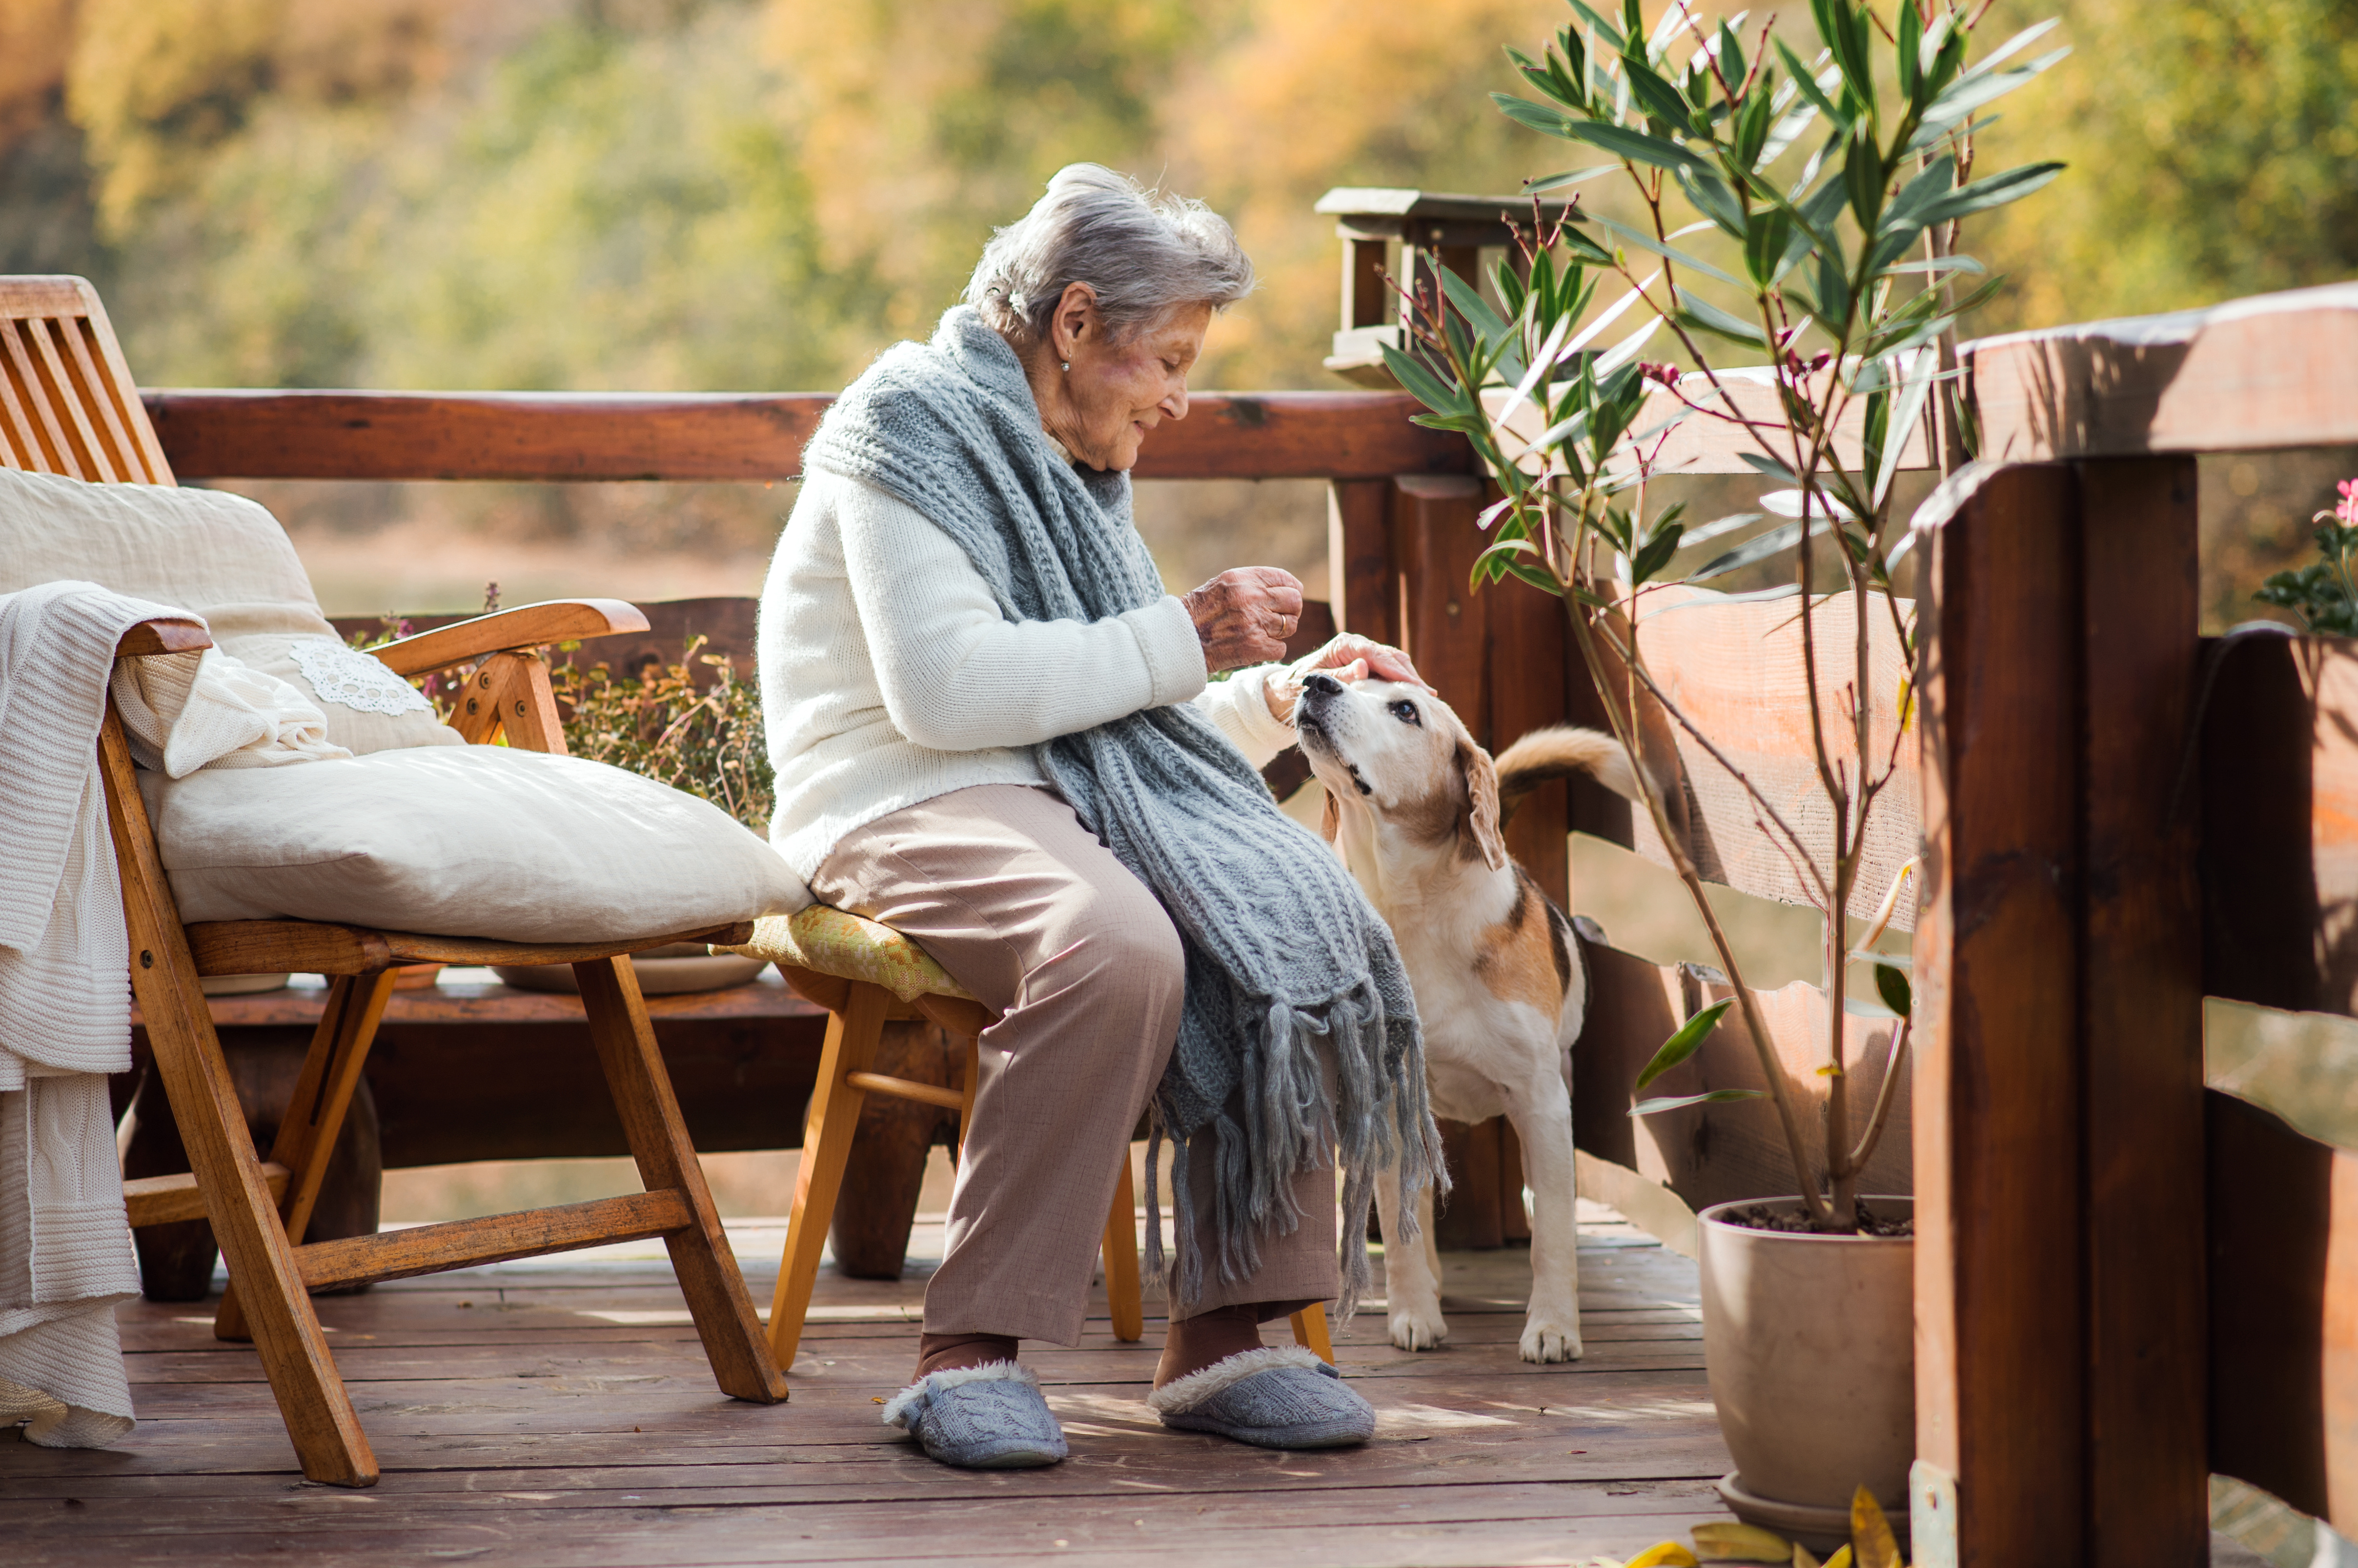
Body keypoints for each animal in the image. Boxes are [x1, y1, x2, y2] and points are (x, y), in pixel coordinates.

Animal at [1292, 664, 1641, 1367]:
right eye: (1348, 676)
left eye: (1405, 709)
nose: (1315, 681)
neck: (1415, 913)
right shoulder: (1387, 1099)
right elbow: (1403, 1230)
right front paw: (1413, 1314)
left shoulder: (1541, 1103)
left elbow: (1552, 1232)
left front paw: (1553, 1327)